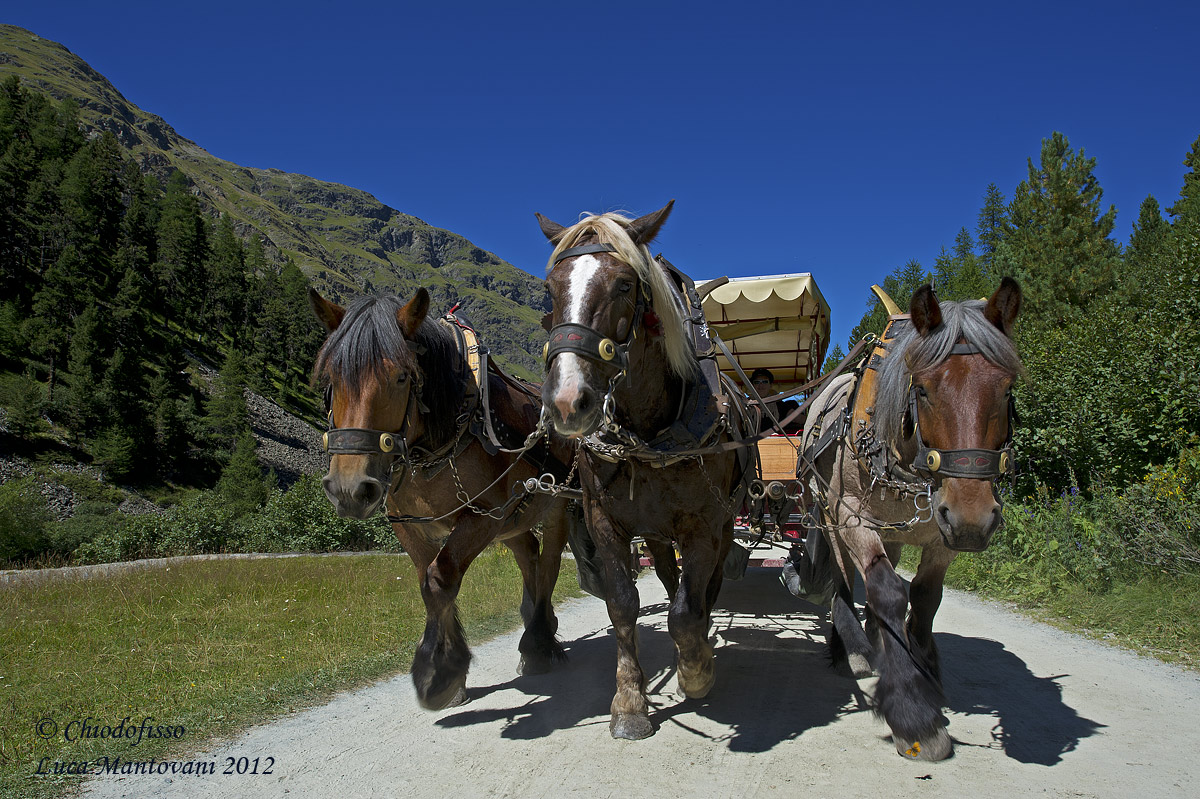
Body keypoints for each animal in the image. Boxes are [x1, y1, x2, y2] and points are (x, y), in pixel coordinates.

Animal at [309, 287, 578, 710]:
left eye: (401, 376)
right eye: (331, 378)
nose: (349, 490)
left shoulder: (482, 516)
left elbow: (440, 580)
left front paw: (438, 672)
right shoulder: (411, 526)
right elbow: (428, 582)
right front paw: (451, 672)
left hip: (556, 502)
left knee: (549, 562)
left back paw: (538, 643)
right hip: (514, 517)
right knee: (529, 556)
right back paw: (539, 626)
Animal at [535, 201, 750, 740]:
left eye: (624, 285)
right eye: (550, 288)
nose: (567, 402)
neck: (649, 431)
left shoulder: (704, 525)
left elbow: (687, 610)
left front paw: (696, 672)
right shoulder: (604, 521)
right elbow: (624, 605)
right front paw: (630, 701)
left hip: (722, 523)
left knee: (703, 590)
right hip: (654, 529)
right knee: (671, 580)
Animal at [800, 278, 1023, 761]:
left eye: (1006, 388)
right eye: (922, 388)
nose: (973, 518)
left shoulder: (941, 536)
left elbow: (923, 598)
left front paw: (924, 670)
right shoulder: (851, 516)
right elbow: (885, 590)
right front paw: (912, 713)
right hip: (829, 514)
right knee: (846, 578)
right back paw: (852, 648)